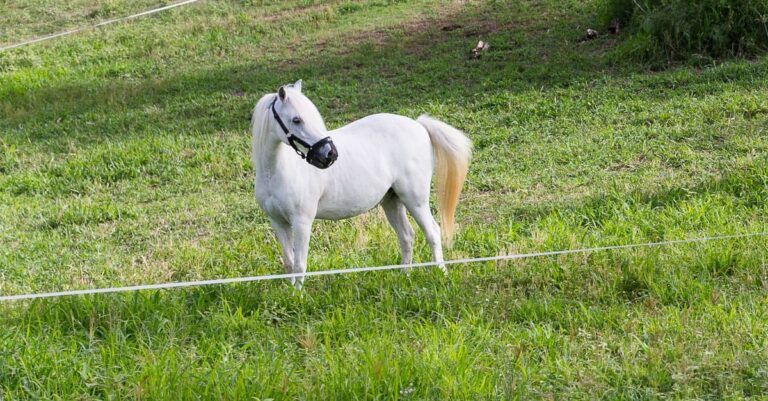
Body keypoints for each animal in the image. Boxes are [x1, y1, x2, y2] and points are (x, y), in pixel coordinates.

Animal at [251, 80, 472, 289]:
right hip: (392, 201)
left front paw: (299, 296)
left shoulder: (302, 222)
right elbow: (289, 263)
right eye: (296, 119)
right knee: (407, 236)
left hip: (415, 200)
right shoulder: (278, 222)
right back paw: (405, 275)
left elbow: (299, 264)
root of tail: (419, 126)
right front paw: (291, 293)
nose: (330, 154)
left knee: (433, 232)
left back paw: (441, 274)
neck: (278, 171)